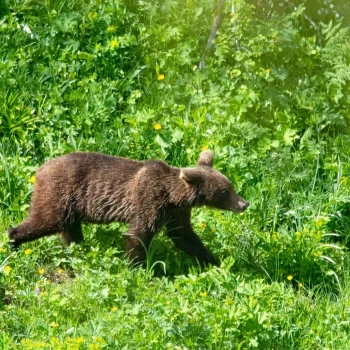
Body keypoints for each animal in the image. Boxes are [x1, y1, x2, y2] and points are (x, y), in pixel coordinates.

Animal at [8, 150, 249, 266]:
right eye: (225, 191)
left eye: (230, 186)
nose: (244, 203)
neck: (173, 196)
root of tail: (40, 169)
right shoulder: (148, 200)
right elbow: (139, 234)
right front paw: (137, 267)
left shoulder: (176, 212)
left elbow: (184, 235)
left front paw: (212, 260)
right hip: (59, 192)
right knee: (46, 220)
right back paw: (13, 240)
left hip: (71, 204)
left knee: (69, 228)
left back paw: (77, 248)